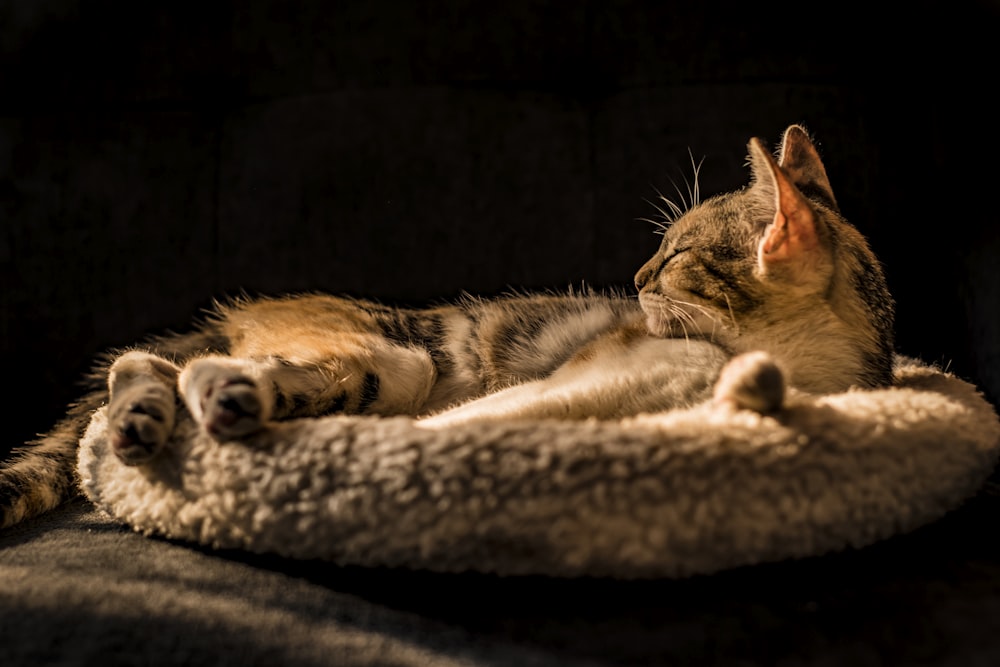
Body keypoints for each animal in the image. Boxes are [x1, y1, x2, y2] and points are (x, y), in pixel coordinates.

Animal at [0, 125, 900, 528]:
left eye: (677, 255)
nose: (639, 278)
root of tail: (234, 317)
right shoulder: (577, 376)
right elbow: (480, 417)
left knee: (142, 364)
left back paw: (159, 414)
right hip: (395, 360)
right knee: (160, 364)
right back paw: (202, 400)